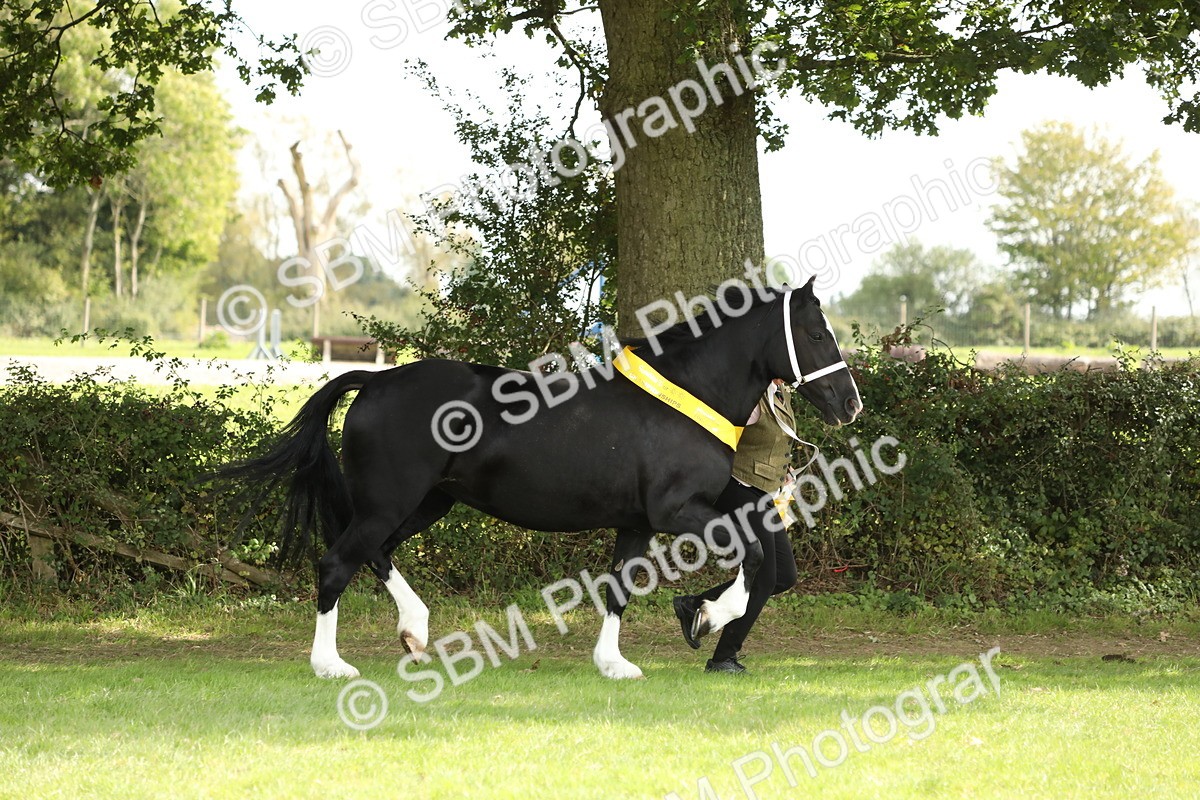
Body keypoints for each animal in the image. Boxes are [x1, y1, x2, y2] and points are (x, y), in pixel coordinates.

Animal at [220, 277, 861, 680]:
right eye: (817, 334)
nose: (849, 404)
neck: (684, 395)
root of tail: (376, 379)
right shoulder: (679, 512)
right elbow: (752, 554)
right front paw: (704, 615)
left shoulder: (637, 524)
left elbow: (618, 588)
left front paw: (615, 664)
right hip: (391, 502)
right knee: (336, 563)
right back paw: (331, 664)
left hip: (424, 503)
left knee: (374, 554)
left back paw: (415, 632)